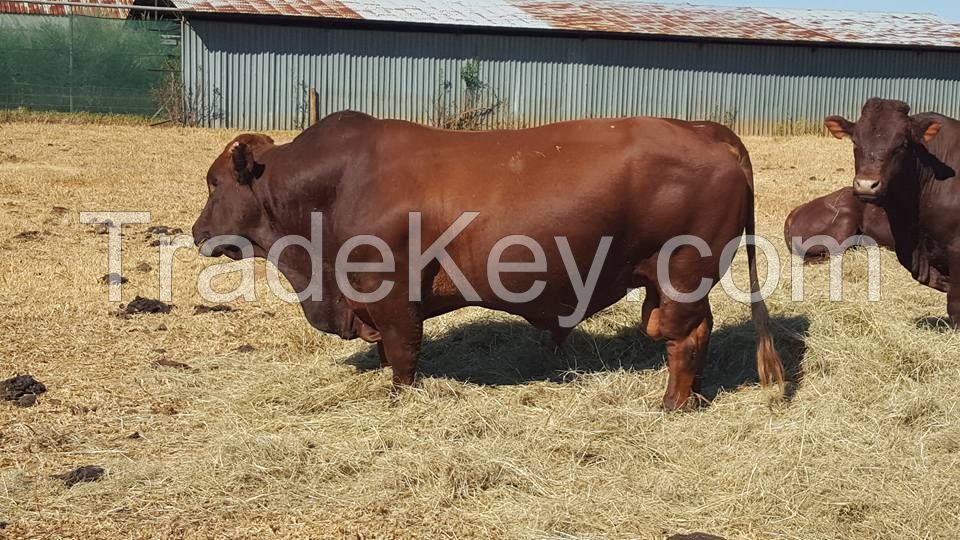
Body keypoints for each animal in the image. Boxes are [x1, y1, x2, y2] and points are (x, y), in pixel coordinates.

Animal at [191, 112, 784, 412]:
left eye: (214, 183)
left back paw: (672, 404)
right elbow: (387, 350)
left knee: (685, 337)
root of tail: (705, 129)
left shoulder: (391, 289)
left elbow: (402, 354)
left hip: (683, 273)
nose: (197, 233)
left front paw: (399, 399)